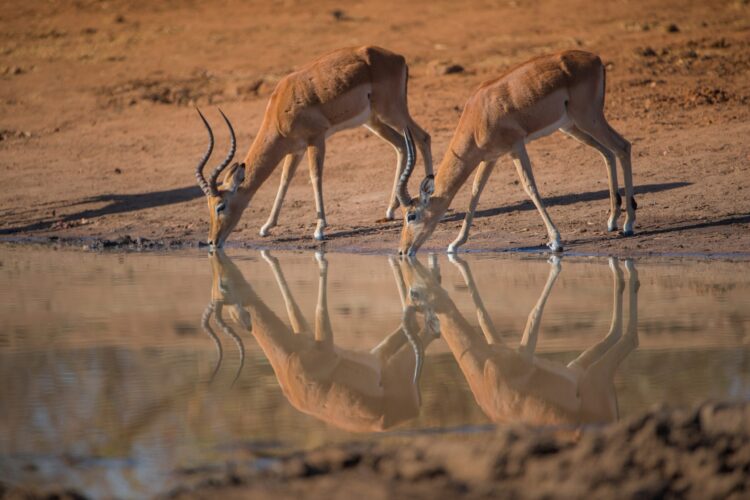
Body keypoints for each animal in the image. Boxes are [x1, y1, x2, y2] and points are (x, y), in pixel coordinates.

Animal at [191, 46, 432, 249]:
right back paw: (390, 210)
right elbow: (285, 180)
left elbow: (315, 177)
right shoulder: (295, 149)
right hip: (374, 120)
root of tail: (397, 57)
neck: (279, 108)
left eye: (220, 206)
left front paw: (319, 230)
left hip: (392, 112)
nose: (212, 241)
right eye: (208, 206)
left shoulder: (316, 139)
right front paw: (267, 227)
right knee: (401, 146)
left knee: (423, 137)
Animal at [206, 252, 440, 432]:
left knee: (422, 327)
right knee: (415, 327)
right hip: (381, 359)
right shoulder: (305, 332)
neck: (288, 363)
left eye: (223, 286)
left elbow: (319, 308)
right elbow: (291, 306)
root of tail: (412, 411)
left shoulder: (325, 342)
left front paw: (321, 261)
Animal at [396, 50, 636, 256]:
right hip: (572, 126)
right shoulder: (490, 158)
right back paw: (612, 221)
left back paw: (628, 225)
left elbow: (530, 187)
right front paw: (455, 244)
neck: (479, 114)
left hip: (588, 118)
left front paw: (556, 241)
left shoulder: (516, 147)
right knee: (608, 153)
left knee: (623, 147)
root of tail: (595, 59)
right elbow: (475, 193)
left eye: (411, 215)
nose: (402, 250)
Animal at [402, 258, 644, 426]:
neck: (485, 375)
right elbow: (482, 315)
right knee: (619, 334)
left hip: (593, 377)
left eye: (413, 293)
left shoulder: (524, 354)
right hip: (582, 370)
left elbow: (531, 314)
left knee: (630, 338)